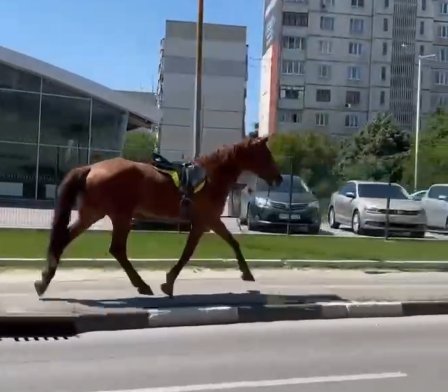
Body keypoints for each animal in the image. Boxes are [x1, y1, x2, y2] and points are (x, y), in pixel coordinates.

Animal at [35, 136, 282, 298]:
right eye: (265, 154)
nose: (279, 178)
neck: (211, 177)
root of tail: (91, 168)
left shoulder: (207, 222)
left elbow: (230, 242)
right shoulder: (206, 221)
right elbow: (190, 253)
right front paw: (169, 283)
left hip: (93, 214)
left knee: (64, 239)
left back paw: (43, 281)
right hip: (119, 216)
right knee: (117, 249)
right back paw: (142, 285)